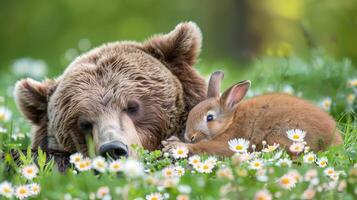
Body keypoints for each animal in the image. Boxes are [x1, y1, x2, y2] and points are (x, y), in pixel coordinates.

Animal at [161, 70, 342, 156]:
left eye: (210, 118)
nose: (189, 136)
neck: (229, 123)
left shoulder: (231, 140)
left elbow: (208, 147)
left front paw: (176, 145)